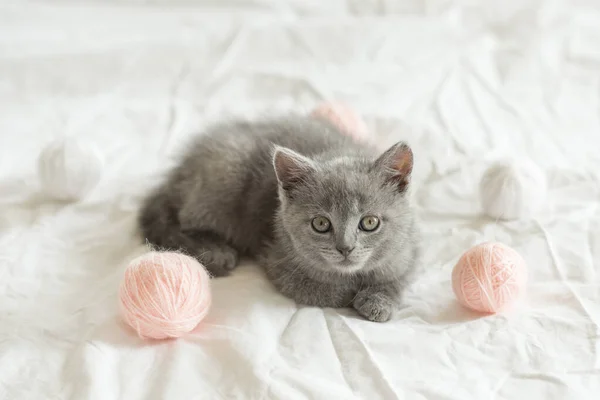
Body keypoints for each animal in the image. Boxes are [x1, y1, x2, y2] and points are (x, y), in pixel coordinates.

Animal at [138, 114, 420, 320]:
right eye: (321, 224)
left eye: (369, 222)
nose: (345, 248)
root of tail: (177, 174)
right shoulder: (277, 258)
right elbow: (322, 292)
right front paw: (351, 294)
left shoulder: (409, 249)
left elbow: (399, 278)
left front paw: (378, 300)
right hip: (226, 171)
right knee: (183, 222)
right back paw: (215, 250)